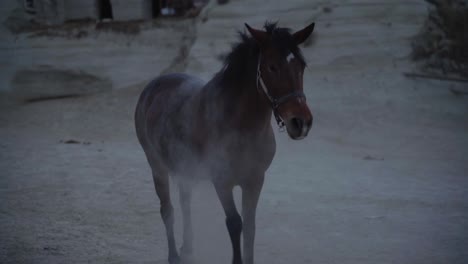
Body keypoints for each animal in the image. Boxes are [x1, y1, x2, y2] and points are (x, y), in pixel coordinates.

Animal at [134, 21, 314, 262]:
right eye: (272, 67)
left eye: (301, 66)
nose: (300, 122)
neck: (240, 126)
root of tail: (152, 87)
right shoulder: (222, 181)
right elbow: (235, 223)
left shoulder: (255, 180)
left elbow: (250, 226)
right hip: (157, 167)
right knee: (167, 210)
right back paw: (174, 256)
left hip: (185, 169)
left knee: (184, 202)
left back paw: (188, 247)